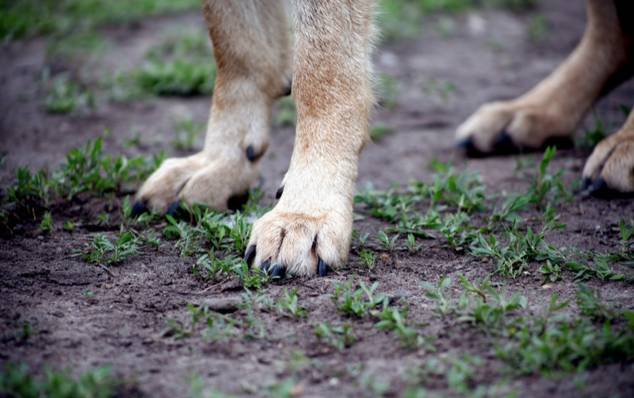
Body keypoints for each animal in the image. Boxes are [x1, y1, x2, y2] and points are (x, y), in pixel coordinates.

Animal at [132, 0, 628, 276]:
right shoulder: (236, 48)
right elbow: (234, 45)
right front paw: (219, 163)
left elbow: (322, 68)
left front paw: (305, 212)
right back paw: (531, 113)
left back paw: (624, 148)